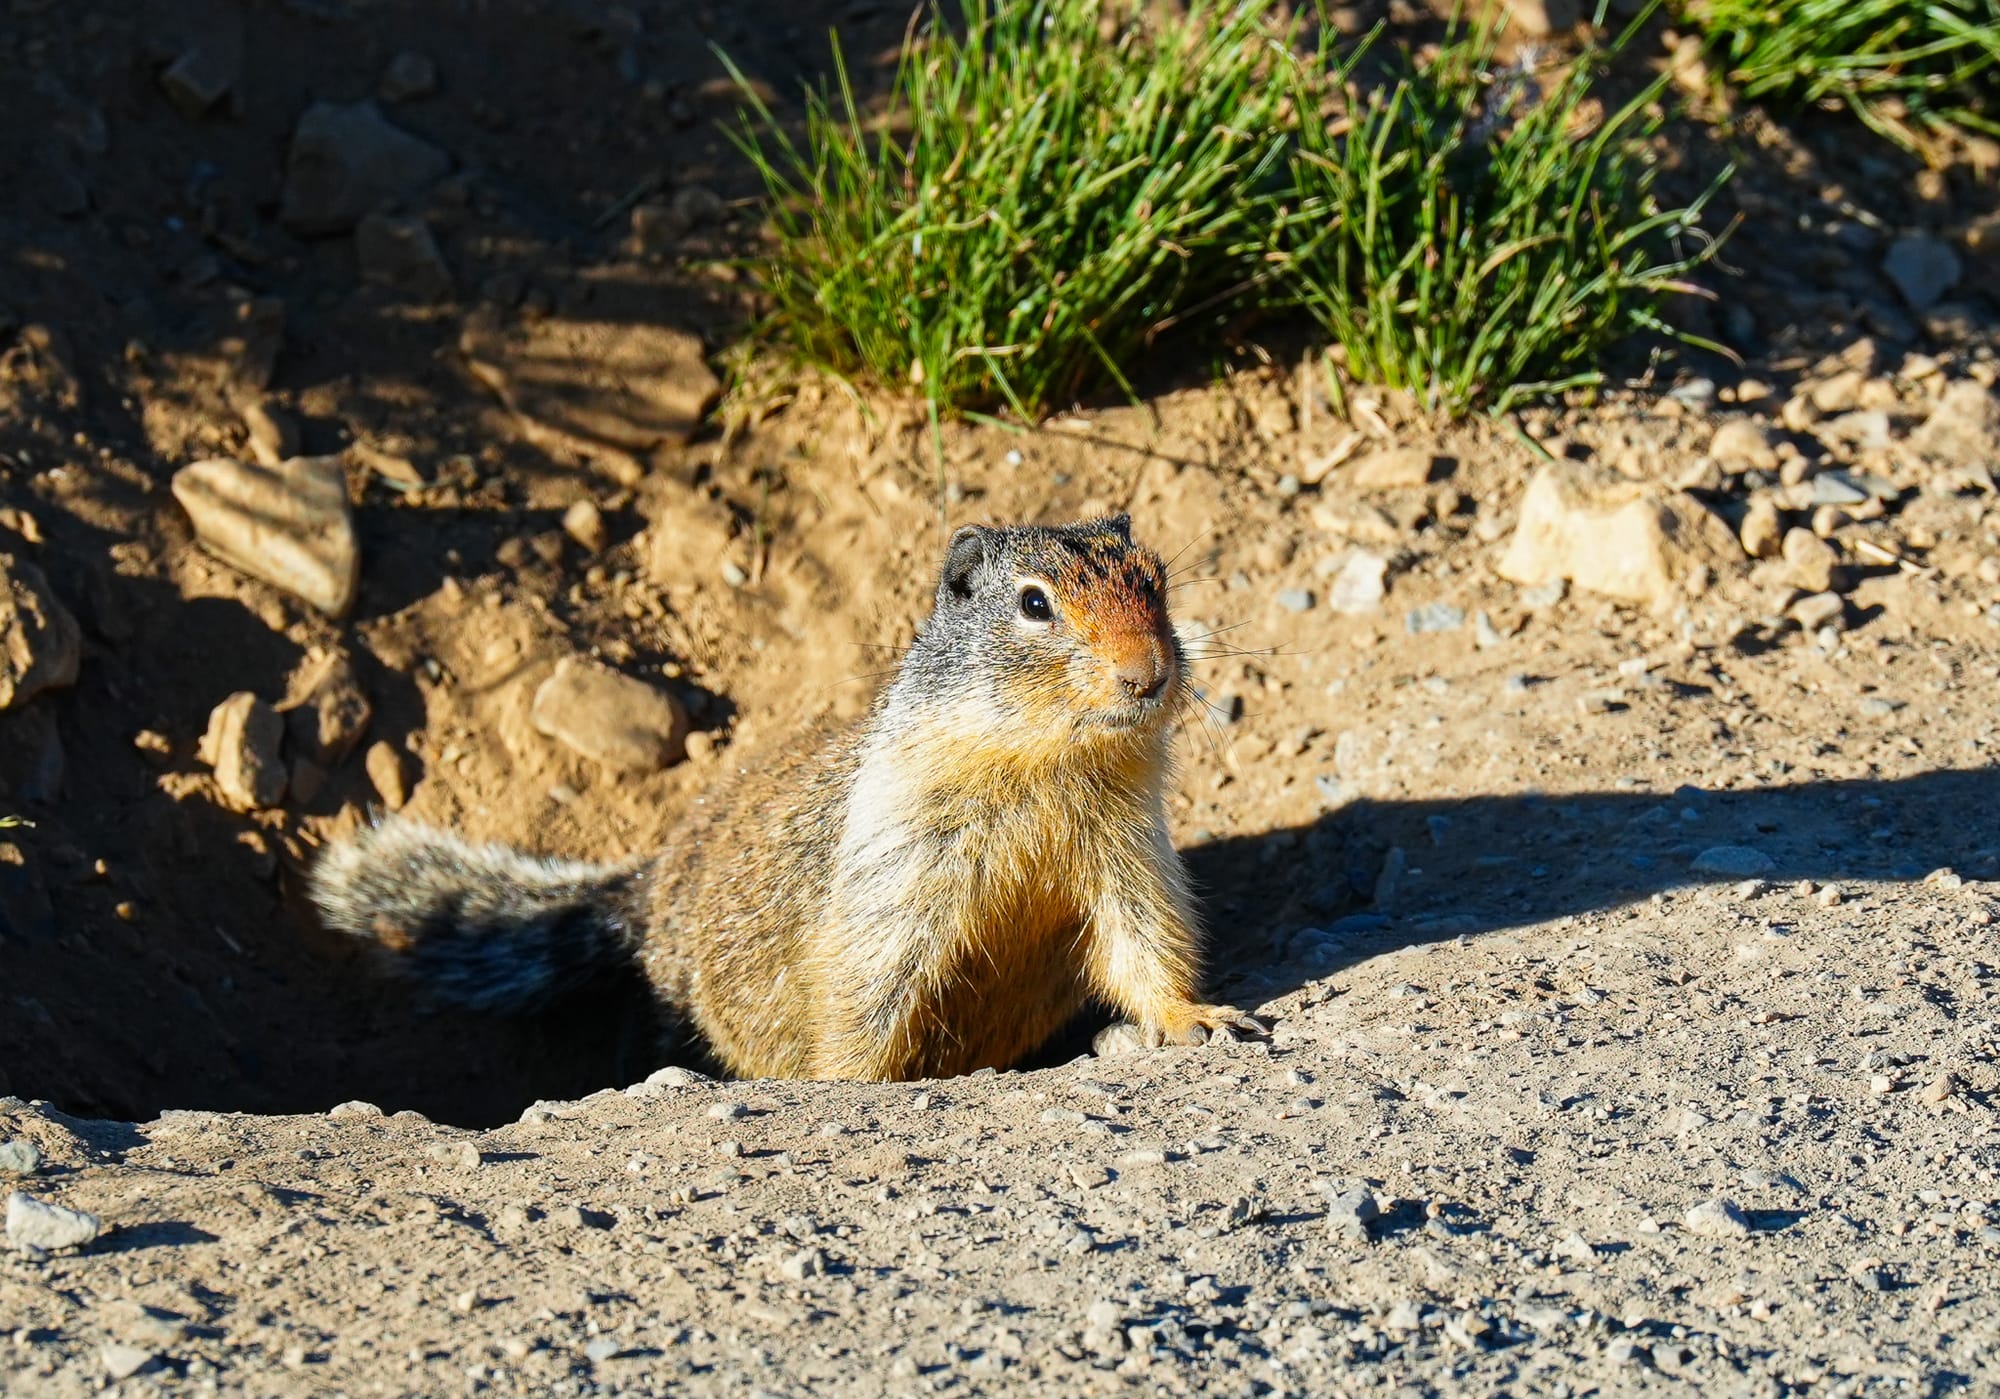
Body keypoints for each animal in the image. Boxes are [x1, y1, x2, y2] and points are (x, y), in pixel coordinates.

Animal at [310, 514, 1263, 1081]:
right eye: (1034, 603)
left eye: (1155, 579)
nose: (1149, 672)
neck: (1045, 768)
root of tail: (648, 882)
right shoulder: (897, 863)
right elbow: (866, 992)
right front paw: (850, 1082)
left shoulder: (1127, 844)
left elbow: (1145, 939)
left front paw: (1199, 1019)